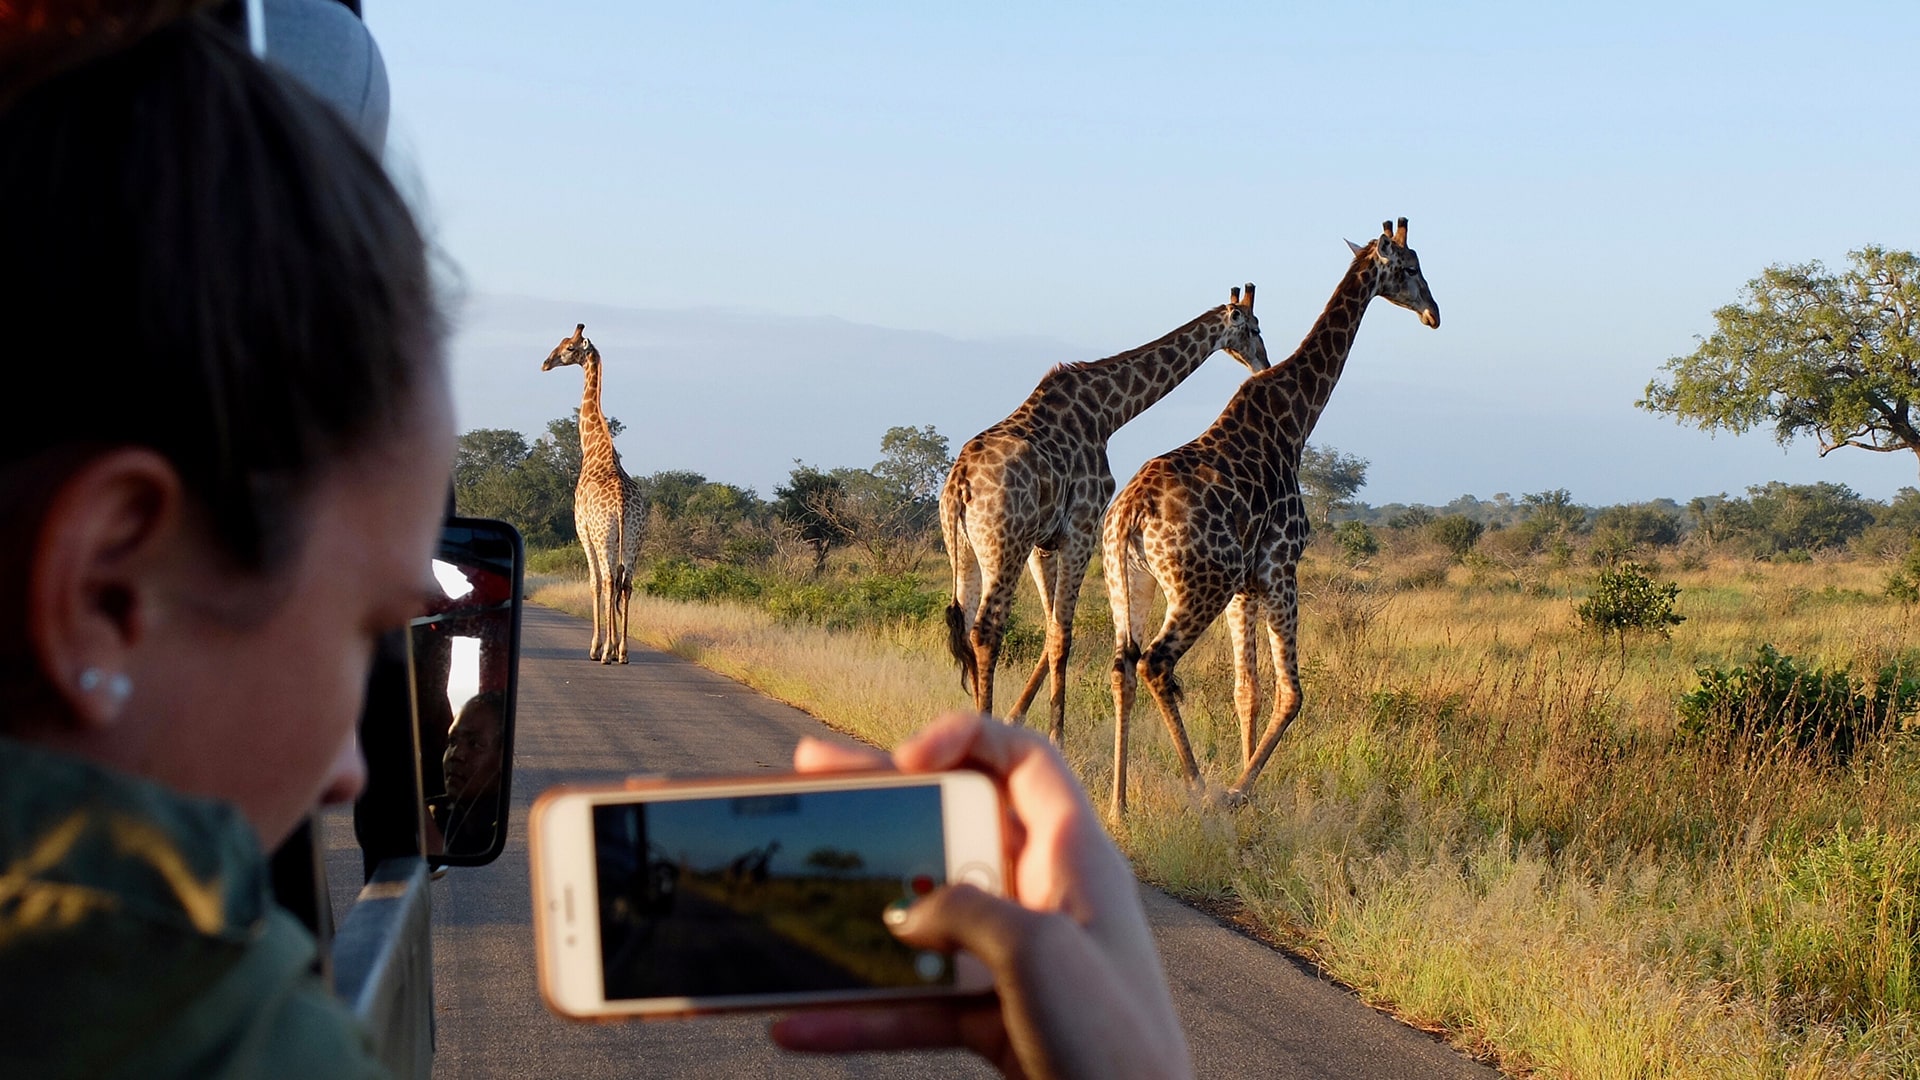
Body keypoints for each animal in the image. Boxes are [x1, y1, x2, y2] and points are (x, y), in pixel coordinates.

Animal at [545, 322, 648, 664]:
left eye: (568, 347)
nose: (545, 363)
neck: (594, 448)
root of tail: (622, 504)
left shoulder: (582, 529)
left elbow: (594, 584)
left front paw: (597, 647)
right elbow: (613, 585)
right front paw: (614, 646)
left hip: (604, 536)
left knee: (608, 579)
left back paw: (605, 652)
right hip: (634, 538)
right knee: (626, 583)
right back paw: (623, 651)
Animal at [936, 286, 1267, 737]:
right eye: (1255, 329)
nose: (1264, 365)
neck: (1107, 413)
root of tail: (959, 485)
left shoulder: (1043, 543)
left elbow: (1051, 630)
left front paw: (1020, 717)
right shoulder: (1082, 527)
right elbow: (1063, 636)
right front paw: (1056, 735)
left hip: (965, 549)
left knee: (967, 626)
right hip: (1004, 545)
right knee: (987, 629)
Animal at [1105, 219, 1436, 807]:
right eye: (1412, 267)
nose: (1434, 312)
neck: (1296, 418)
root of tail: (1130, 515)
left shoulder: (1246, 585)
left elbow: (1247, 690)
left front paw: (1245, 780)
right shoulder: (1281, 565)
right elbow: (1292, 693)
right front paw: (1240, 789)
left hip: (1131, 583)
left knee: (1122, 665)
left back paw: (1119, 806)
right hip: (1200, 586)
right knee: (1156, 663)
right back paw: (1201, 791)